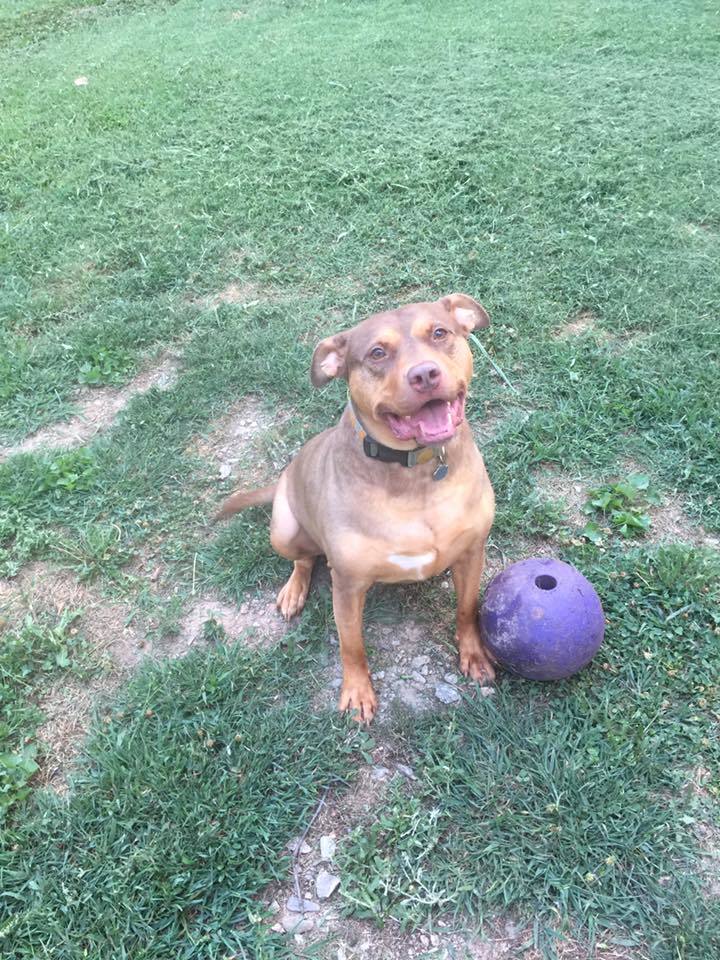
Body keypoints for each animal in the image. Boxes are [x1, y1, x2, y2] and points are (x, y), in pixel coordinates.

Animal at [218, 292, 496, 720]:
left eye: (439, 333)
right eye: (377, 353)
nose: (425, 375)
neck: (415, 472)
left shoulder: (472, 551)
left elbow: (467, 610)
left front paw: (475, 655)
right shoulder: (347, 586)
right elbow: (351, 645)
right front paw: (357, 692)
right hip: (284, 528)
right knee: (304, 558)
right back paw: (294, 590)